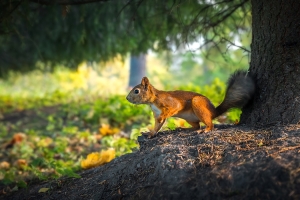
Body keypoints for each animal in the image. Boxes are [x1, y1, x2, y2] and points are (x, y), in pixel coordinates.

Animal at [125, 70, 254, 139]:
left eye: (136, 91)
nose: (126, 98)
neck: (152, 101)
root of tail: (213, 112)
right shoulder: (156, 114)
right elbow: (157, 126)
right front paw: (150, 133)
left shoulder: (170, 102)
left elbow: (174, 108)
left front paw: (163, 117)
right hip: (190, 118)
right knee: (197, 126)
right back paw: (185, 128)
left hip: (198, 104)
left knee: (210, 124)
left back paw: (205, 130)